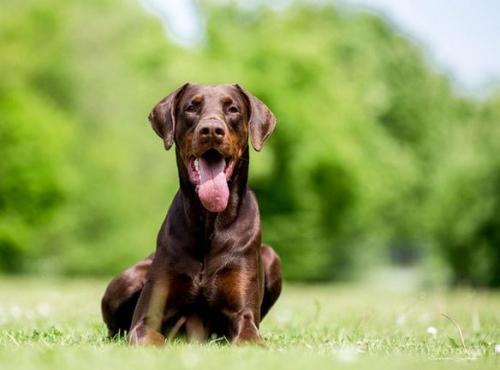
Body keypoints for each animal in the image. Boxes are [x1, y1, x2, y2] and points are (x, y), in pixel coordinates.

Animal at [101, 84, 282, 344]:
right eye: (191, 107)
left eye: (233, 109)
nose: (212, 130)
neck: (208, 222)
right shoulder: (146, 319)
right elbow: (152, 338)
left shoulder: (244, 316)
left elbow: (249, 334)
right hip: (129, 279)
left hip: (272, 258)